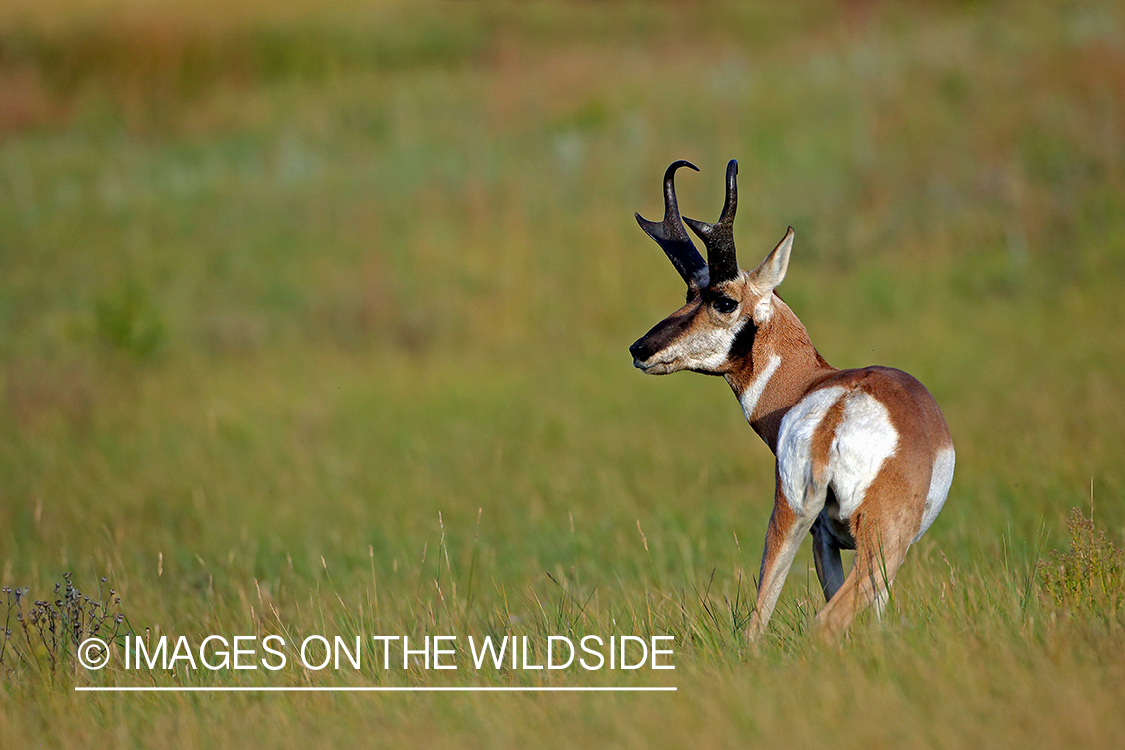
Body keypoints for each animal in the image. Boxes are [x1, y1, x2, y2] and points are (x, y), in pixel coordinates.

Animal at [630, 158, 954, 638]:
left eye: (719, 300)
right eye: (692, 294)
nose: (640, 349)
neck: (812, 380)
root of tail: (834, 415)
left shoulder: (822, 538)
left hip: (790, 520)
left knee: (756, 625)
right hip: (882, 544)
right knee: (827, 621)